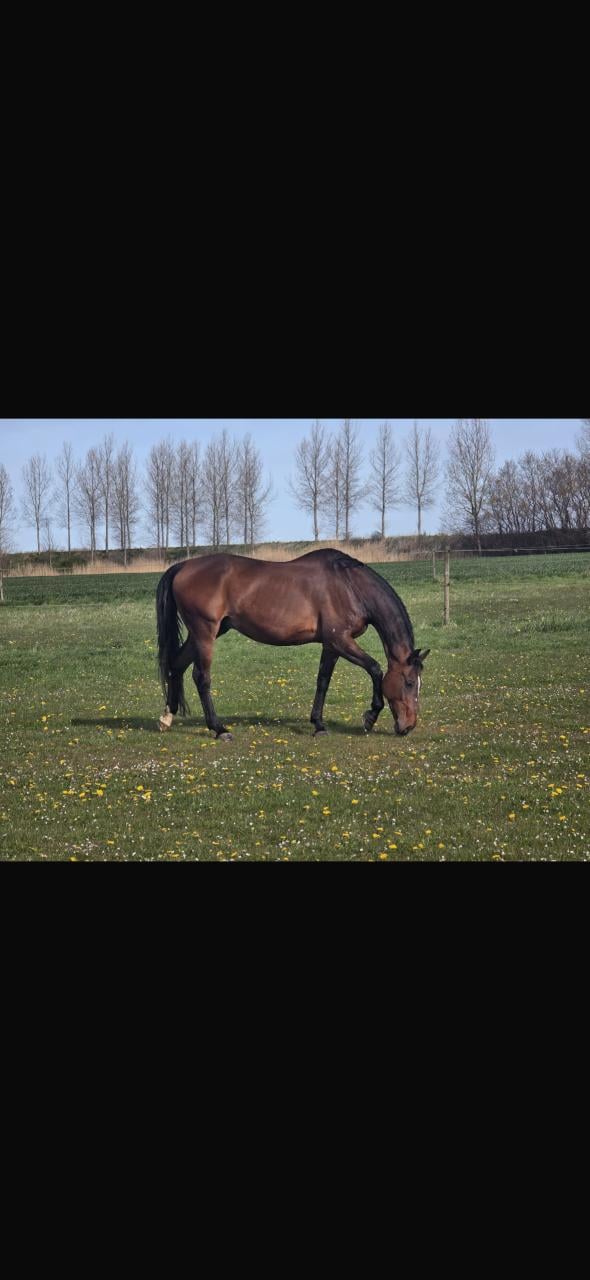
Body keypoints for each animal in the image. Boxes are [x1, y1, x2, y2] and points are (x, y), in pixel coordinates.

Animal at [156, 549, 430, 740]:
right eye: (408, 682)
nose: (408, 726)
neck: (350, 585)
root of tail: (183, 566)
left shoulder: (331, 646)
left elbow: (323, 682)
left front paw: (318, 725)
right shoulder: (341, 640)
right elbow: (375, 669)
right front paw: (370, 716)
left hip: (202, 634)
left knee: (176, 666)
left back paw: (167, 718)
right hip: (205, 633)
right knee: (201, 677)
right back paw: (219, 729)